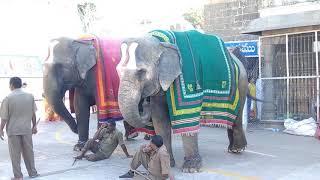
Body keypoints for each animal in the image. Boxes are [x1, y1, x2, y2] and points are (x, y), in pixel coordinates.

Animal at [116, 30, 249, 172]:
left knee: (237, 116)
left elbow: (188, 115)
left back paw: (236, 149)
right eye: (118, 71)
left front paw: (191, 169)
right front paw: (167, 162)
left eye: (141, 72)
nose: (145, 102)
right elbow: (160, 119)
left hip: (242, 82)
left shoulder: (187, 77)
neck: (161, 43)